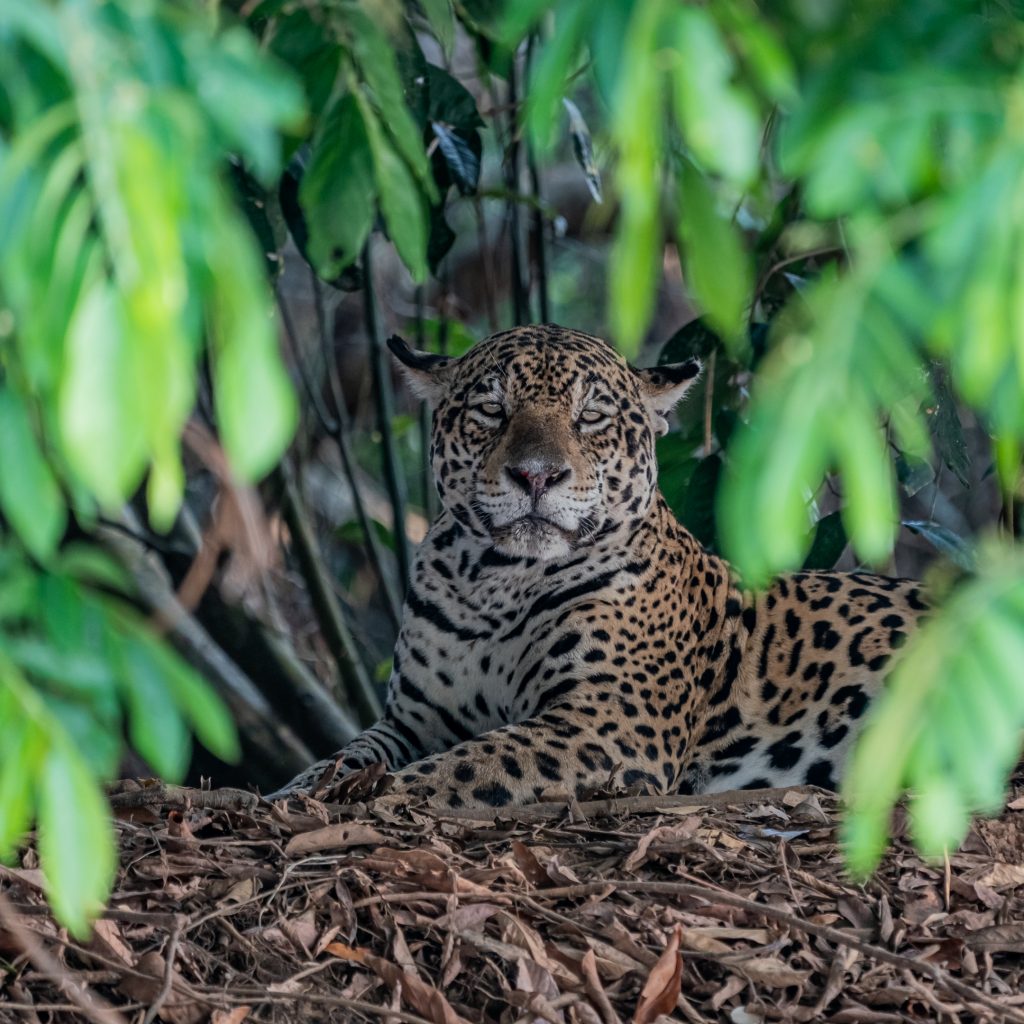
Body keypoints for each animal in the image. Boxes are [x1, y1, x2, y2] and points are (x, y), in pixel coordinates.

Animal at [270, 323, 927, 809]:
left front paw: (362, 799)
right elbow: (345, 754)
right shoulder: (413, 719)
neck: (496, 581)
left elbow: (464, 766)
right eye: (492, 410)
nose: (536, 475)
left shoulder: (606, 720)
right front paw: (288, 794)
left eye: (591, 416)